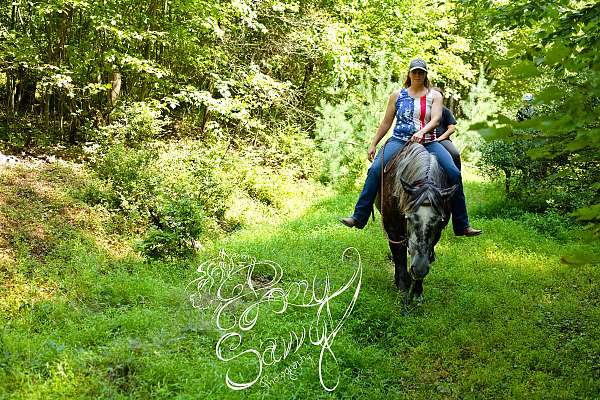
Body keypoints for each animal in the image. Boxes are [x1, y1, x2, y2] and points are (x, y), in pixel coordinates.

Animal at [378, 142, 458, 310]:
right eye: (408, 217)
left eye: (439, 221)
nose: (419, 269)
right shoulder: (393, 231)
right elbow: (400, 258)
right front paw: (403, 290)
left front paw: (417, 292)